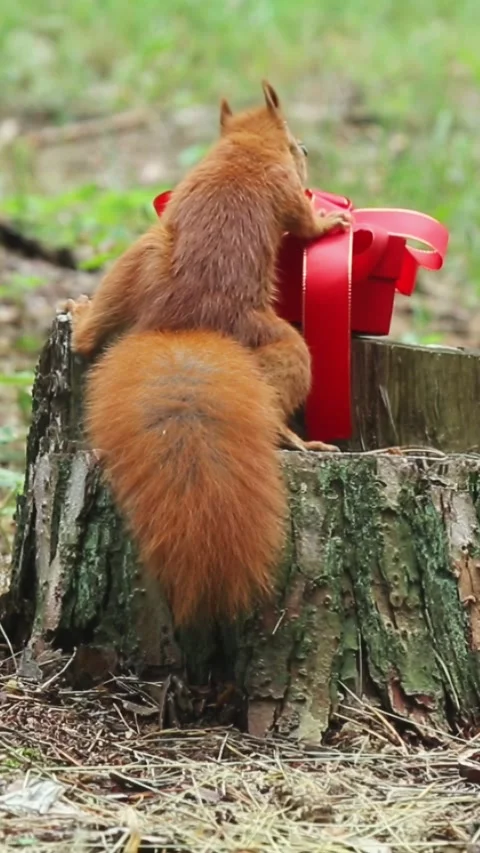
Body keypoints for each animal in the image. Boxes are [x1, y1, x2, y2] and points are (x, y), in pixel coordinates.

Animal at [68, 81, 351, 626]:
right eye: (297, 147)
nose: (307, 152)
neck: (243, 148)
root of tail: (182, 324)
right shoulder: (287, 191)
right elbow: (306, 226)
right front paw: (332, 220)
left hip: (139, 261)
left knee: (91, 338)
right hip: (277, 343)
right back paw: (298, 440)